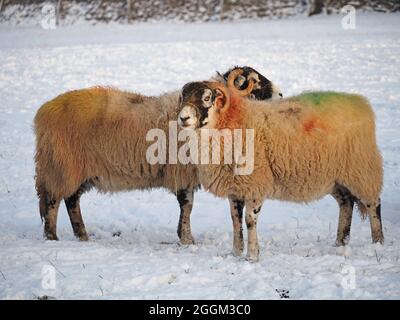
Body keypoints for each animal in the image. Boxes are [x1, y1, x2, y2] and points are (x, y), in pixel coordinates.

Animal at [35, 66, 284, 244]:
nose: (281, 94)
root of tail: (43, 112)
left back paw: (82, 235)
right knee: (52, 202)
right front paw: (187, 239)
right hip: (60, 166)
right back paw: (52, 238)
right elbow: (187, 205)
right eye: (254, 81)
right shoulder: (183, 173)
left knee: (71, 200)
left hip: (76, 171)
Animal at [178, 69, 384, 260]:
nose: (183, 118)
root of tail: (361, 101)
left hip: (361, 168)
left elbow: (250, 220)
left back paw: (378, 242)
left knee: (373, 203)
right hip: (334, 177)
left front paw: (252, 256)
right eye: (183, 97)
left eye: (206, 98)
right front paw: (235, 253)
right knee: (346, 203)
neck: (236, 119)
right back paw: (340, 242)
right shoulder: (235, 187)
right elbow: (235, 220)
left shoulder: (256, 183)